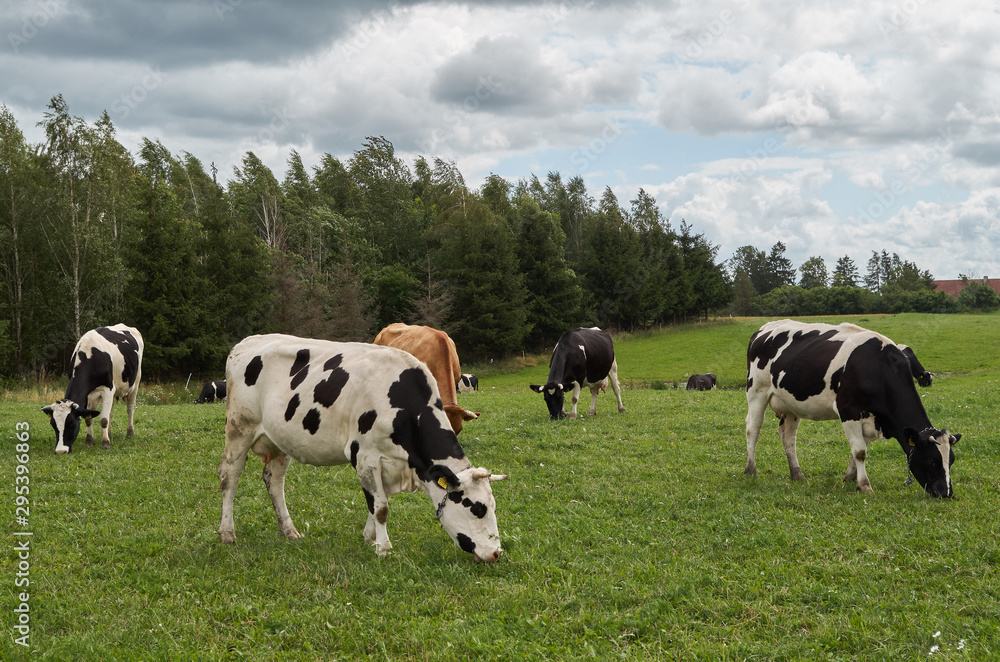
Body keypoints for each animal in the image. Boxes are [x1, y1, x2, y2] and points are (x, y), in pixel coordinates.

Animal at [42, 326, 144, 456]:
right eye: (53, 424)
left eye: (71, 424)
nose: (61, 451)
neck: (89, 355)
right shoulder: (89, 394)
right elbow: (89, 418)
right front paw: (89, 441)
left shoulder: (108, 389)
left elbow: (103, 419)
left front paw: (105, 443)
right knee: (110, 412)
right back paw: (109, 434)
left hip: (136, 382)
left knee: (130, 409)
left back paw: (130, 433)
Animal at [215, 334, 504, 564]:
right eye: (477, 508)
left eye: (493, 506)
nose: (496, 553)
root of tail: (246, 342)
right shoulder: (365, 455)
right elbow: (380, 506)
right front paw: (383, 548)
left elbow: (374, 503)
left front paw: (370, 538)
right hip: (239, 428)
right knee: (230, 477)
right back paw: (227, 532)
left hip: (278, 440)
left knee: (274, 482)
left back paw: (289, 531)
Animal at [748, 320, 956, 498]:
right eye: (932, 460)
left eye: (951, 460)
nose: (946, 493)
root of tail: (764, 328)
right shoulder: (848, 409)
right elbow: (860, 451)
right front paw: (864, 485)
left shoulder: (873, 418)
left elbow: (859, 448)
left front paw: (849, 478)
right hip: (757, 390)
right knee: (752, 429)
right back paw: (751, 470)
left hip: (791, 404)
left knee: (788, 435)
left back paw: (797, 474)